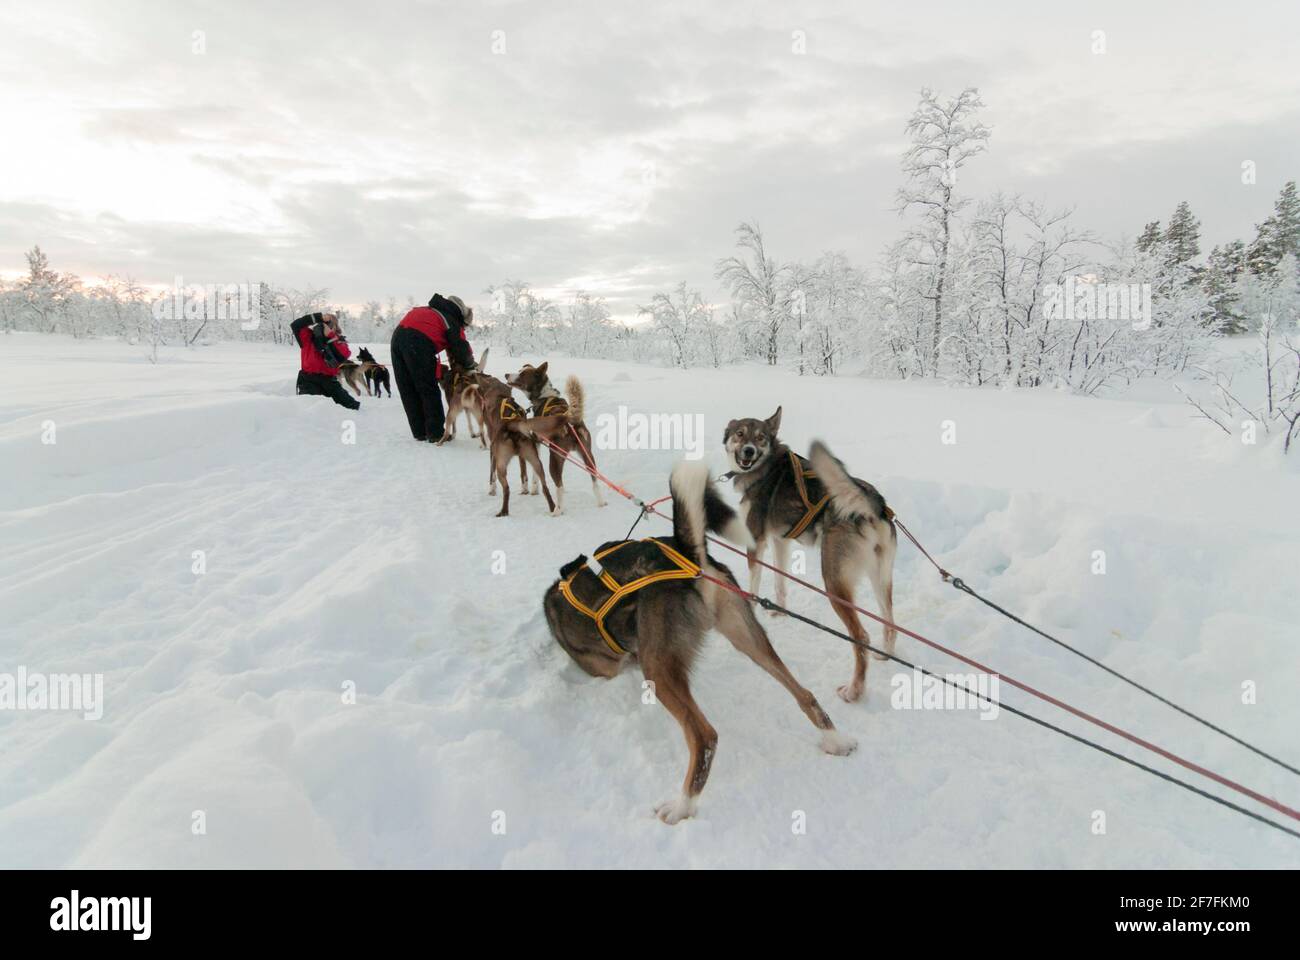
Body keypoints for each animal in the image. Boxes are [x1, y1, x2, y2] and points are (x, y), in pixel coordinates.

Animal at [543, 460, 857, 816]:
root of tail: (689, 559)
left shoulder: (607, 668)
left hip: (658, 668)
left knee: (704, 736)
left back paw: (682, 806)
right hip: (747, 638)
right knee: (804, 694)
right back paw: (836, 740)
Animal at [722, 405, 894, 702]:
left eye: (760, 438)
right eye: (740, 434)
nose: (748, 451)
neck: (766, 468)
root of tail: (873, 503)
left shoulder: (756, 541)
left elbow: (753, 584)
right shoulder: (779, 541)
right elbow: (780, 582)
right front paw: (779, 612)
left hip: (834, 584)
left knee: (860, 637)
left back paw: (854, 690)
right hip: (880, 579)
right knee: (890, 622)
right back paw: (885, 655)